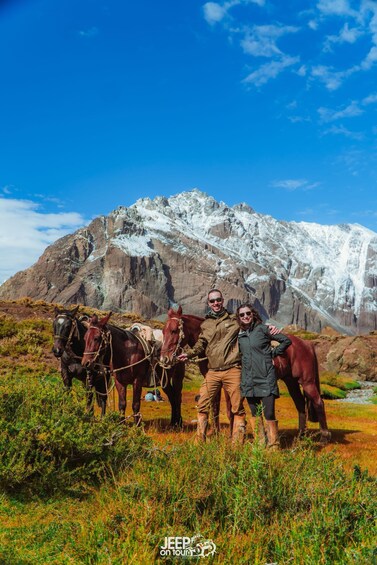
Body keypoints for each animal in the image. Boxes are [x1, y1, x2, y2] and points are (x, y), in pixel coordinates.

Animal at [160, 304, 330, 440]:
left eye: (174, 331)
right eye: (163, 331)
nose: (164, 359)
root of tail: (306, 344)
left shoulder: (230, 384)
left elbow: (230, 410)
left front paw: (231, 435)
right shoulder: (213, 381)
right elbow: (214, 407)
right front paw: (213, 433)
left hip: (307, 382)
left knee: (318, 402)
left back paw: (324, 436)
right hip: (291, 382)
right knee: (300, 404)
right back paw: (301, 435)